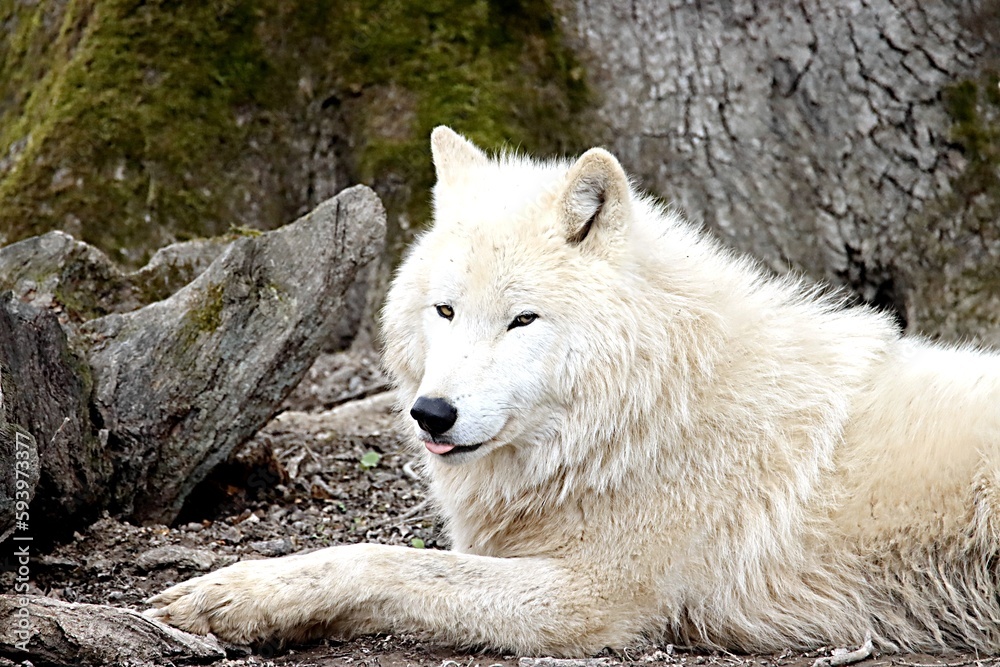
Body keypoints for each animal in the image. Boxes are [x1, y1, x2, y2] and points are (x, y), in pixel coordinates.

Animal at [147, 127, 1000, 656]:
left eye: (522, 319)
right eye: (445, 310)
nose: (432, 413)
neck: (650, 411)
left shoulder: (591, 599)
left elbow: (385, 560)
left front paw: (231, 596)